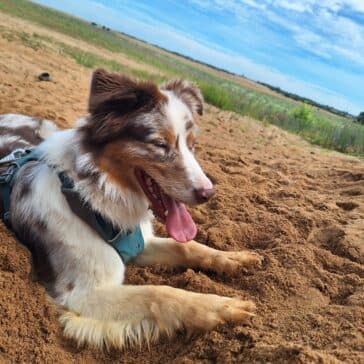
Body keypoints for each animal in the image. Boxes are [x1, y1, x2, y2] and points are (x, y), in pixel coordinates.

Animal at [0, 69, 262, 350]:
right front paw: (223, 306)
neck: (94, 196)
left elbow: (186, 246)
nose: (208, 194)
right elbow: (159, 293)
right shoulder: (82, 294)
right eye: (160, 144)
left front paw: (234, 259)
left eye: (192, 145)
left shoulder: (141, 242)